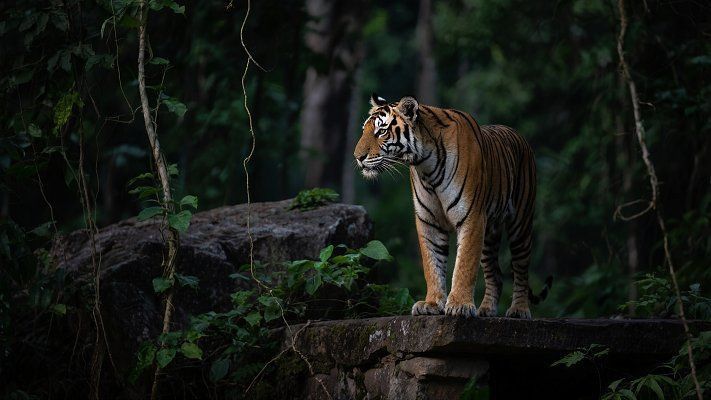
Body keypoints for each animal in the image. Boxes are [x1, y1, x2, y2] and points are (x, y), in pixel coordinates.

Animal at [353, 94, 551, 318]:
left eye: (382, 131)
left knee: (521, 268)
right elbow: (432, 264)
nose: (357, 157)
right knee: (496, 274)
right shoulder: (428, 221)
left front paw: (459, 305)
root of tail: (516, 133)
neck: (425, 165)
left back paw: (518, 309)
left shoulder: (472, 217)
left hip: (520, 223)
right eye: (364, 131)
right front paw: (431, 303)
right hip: (489, 233)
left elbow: (464, 264)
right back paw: (486, 309)